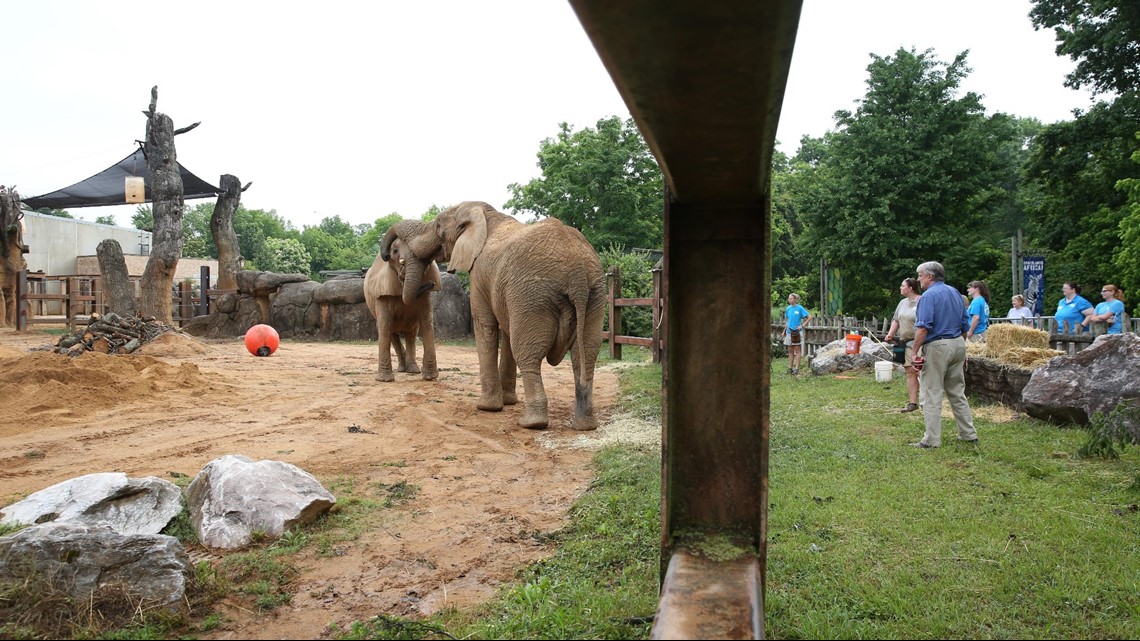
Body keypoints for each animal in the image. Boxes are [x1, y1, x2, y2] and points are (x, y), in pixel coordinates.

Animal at [363, 220, 443, 382]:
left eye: (428, 260)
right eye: (394, 252)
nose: (431, 283)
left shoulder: (425, 297)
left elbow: (426, 322)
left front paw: (430, 377)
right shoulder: (381, 291)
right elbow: (385, 325)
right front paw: (385, 380)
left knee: (411, 333)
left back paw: (412, 370)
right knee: (392, 333)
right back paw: (402, 369)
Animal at [386, 201, 605, 431]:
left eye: (438, 226)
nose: (388, 255)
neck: (483, 213)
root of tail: (577, 274)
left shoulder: (479, 274)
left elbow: (486, 326)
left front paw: (487, 407)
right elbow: (506, 332)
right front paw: (507, 402)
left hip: (532, 296)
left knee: (528, 354)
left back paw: (532, 423)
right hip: (594, 296)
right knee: (585, 355)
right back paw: (585, 425)